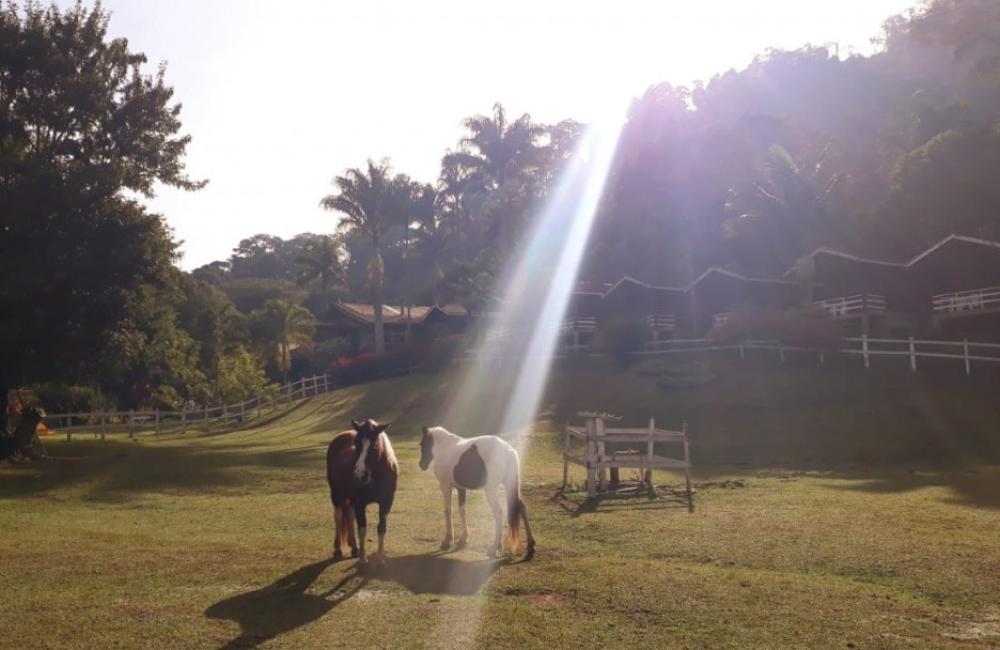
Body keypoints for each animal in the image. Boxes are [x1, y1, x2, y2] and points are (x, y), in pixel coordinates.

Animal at [324, 418, 394, 564]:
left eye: (374, 447)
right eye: (356, 445)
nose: (359, 475)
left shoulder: (386, 503)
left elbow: (381, 528)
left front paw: (380, 558)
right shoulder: (360, 503)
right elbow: (362, 529)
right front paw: (362, 559)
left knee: (350, 517)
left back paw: (354, 548)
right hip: (336, 494)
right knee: (338, 517)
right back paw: (338, 550)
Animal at [418, 426, 536, 556]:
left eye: (422, 443)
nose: (421, 465)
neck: (445, 447)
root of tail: (508, 450)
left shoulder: (445, 486)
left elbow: (447, 511)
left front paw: (447, 540)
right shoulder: (461, 488)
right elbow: (462, 511)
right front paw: (464, 539)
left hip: (490, 490)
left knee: (498, 513)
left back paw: (495, 547)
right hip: (509, 486)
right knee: (522, 508)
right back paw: (530, 545)